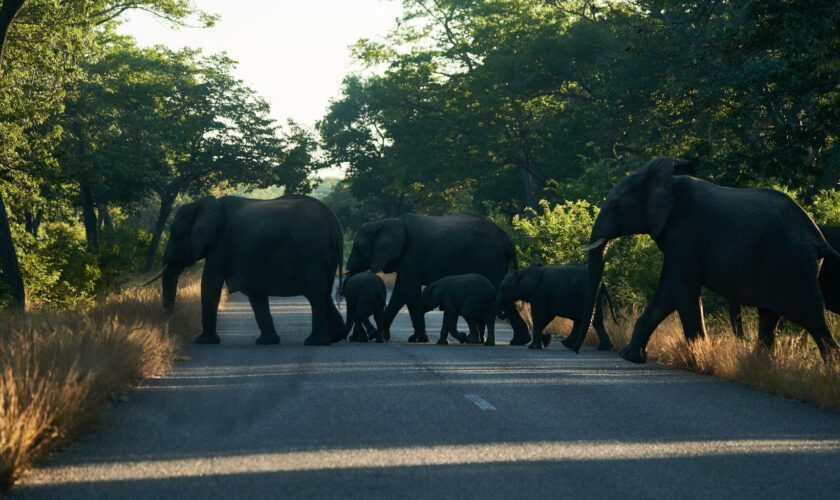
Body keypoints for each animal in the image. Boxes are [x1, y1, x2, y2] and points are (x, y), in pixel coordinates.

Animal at [143, 193, 346, 346]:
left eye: (174, 232)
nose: (168, 320)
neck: (203, 204)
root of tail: (335, 223)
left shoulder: (221, 243)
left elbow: (210, 282)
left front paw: (203, 341)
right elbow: (255, 293)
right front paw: (266, 342)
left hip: (310, 252)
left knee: (315, 294)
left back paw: (315, 342)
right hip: (326, 256)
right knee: (324, 292)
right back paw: (335, 337)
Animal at [344, 213, 528, 346]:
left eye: (358, 248)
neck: (386, 222)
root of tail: (508, 242)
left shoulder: (410, 256)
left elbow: (409, 292)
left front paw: (417, 339)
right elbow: (400, 294)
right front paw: (384, 336)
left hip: (490, 260)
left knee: (501, 291)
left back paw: (518, 341)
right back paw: (519, 341)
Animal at [572, 157, 840, 364]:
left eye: (617, 206)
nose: (574, 349)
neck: (667, 182)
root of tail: (817, 237)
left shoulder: (684, 231)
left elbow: (682, 290)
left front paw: (697, 359)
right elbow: (668, 292)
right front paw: (630, 357)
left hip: (791, 267)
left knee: (812, 319)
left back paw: (827, 371)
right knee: (770, 317)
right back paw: (759, 365)